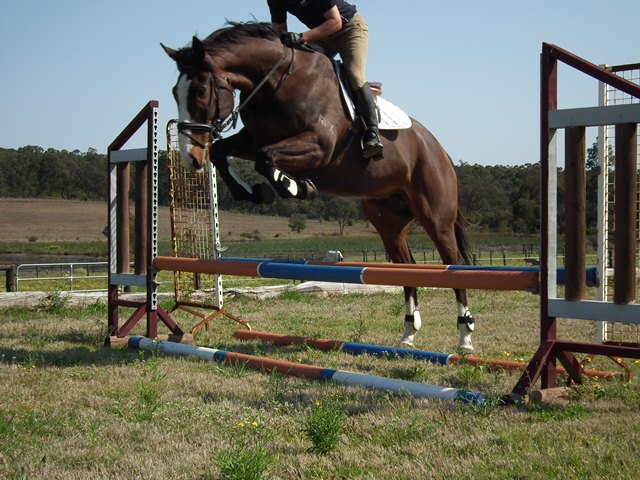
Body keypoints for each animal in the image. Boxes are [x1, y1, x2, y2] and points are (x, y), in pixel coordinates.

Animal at [162, 21, 477, 351]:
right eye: (174, 93)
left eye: (200, 90)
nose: (191, 158)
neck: (276, 82)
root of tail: (440, 150)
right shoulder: (253, 139)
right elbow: (225, 151)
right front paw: (254, 192)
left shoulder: (318, 146)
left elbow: (265, 158)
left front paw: (296, 187)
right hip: (388, 221)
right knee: (406, 266)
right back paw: (407, 334)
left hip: (435, 216)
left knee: (454, 264)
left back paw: (465, 337)